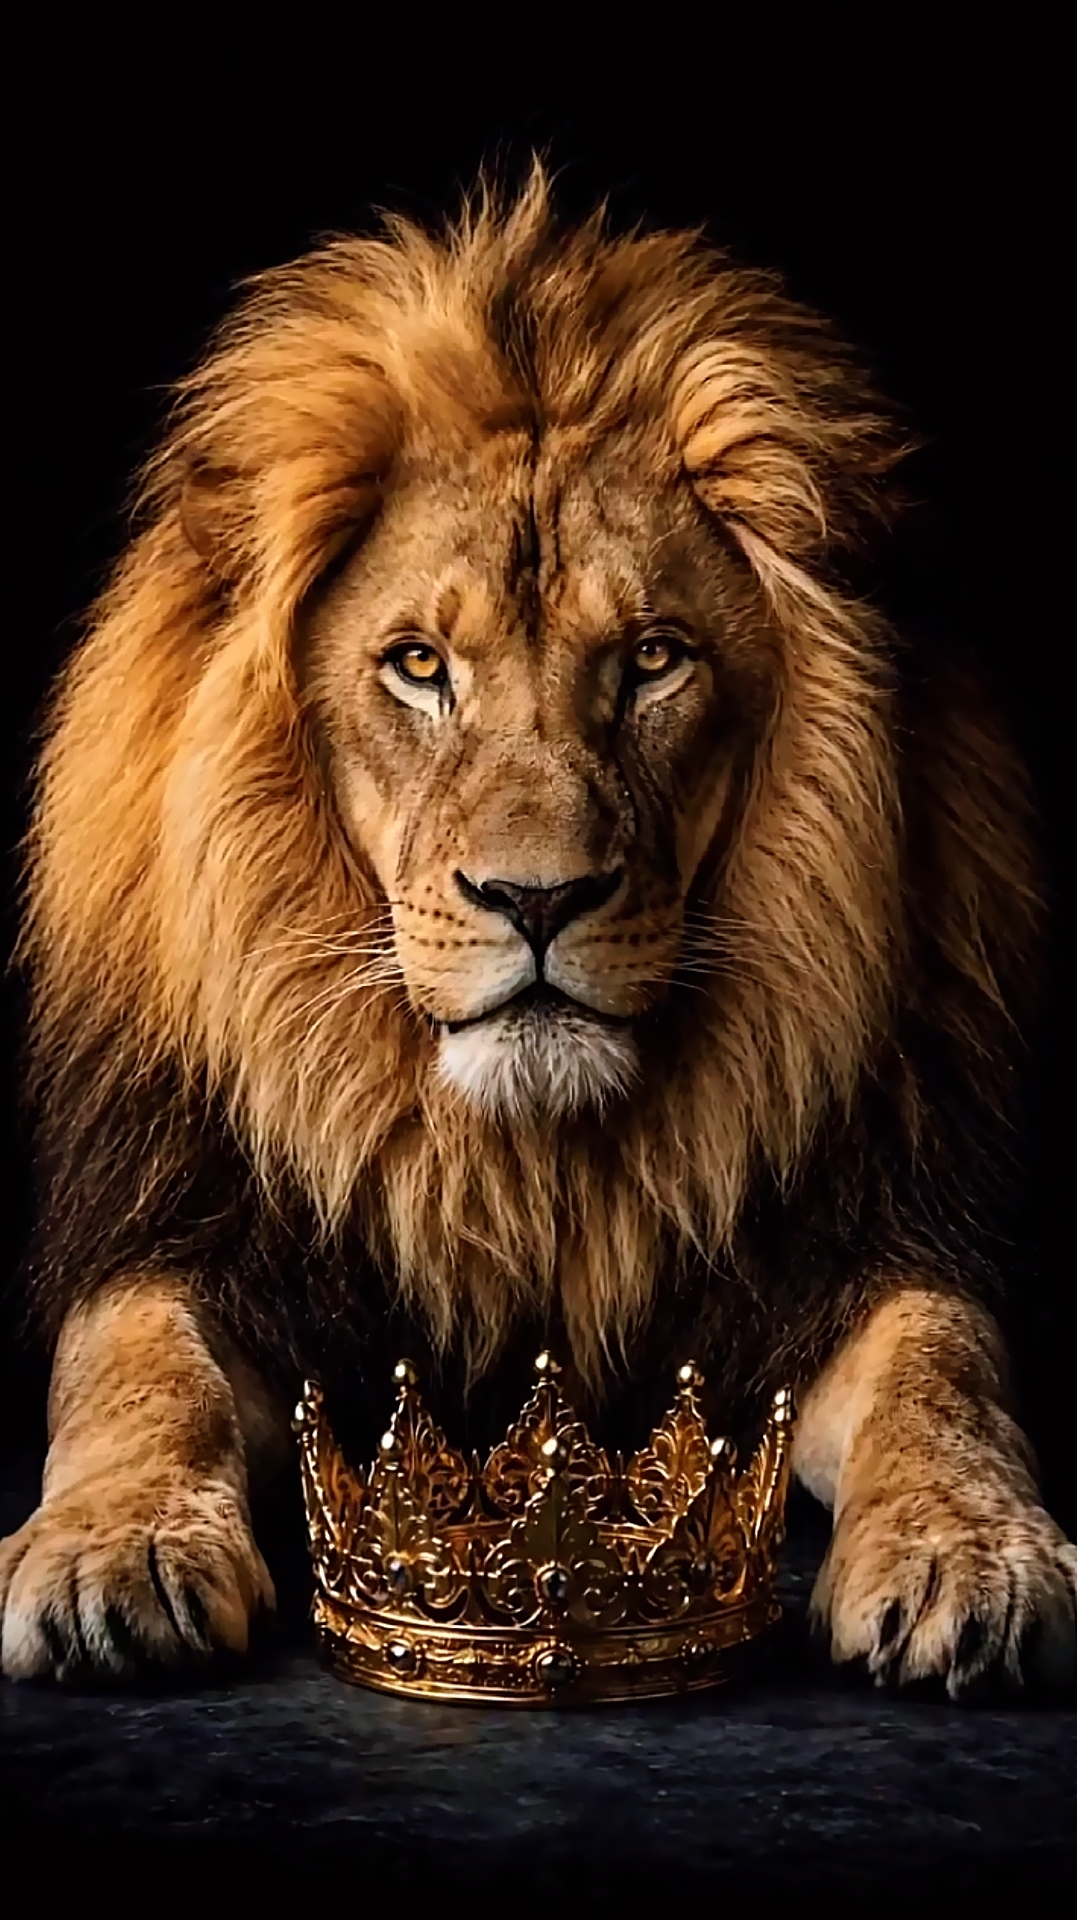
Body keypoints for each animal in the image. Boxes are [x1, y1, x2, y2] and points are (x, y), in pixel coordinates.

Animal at [2, 163, 1073, 1698]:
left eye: (652, 660)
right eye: (417, 666)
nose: (537, 900)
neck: (529, 1170)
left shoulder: (874, 1231)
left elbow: (946, 1377)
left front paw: (964, 1556)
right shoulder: (181, 1226)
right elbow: (136, 1374)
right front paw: (112, 1551)